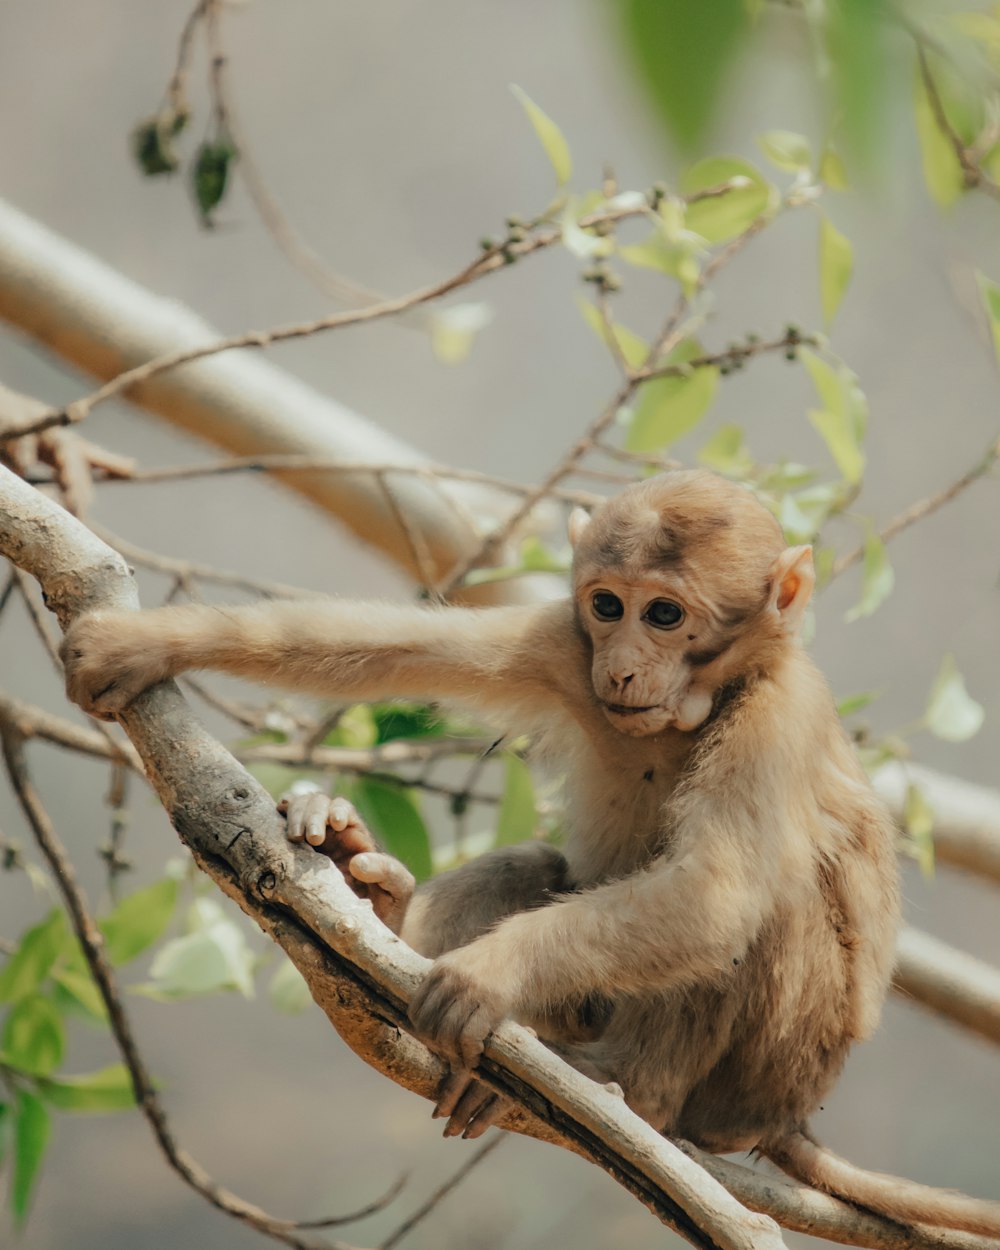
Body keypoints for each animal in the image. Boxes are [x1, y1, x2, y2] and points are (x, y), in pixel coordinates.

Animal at [60, 470, 1000, 1240]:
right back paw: (382, 910)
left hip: (767, 1071)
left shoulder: (779, 716)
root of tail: (792, 1119)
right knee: (538, 869)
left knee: (766, 903)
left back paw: (631, 1094)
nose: (623, 666)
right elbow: (379, 646)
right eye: (608, 605)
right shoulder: (563, 646)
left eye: (666, 614)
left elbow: (717, 894)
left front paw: (489, 973)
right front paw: (153, 643)